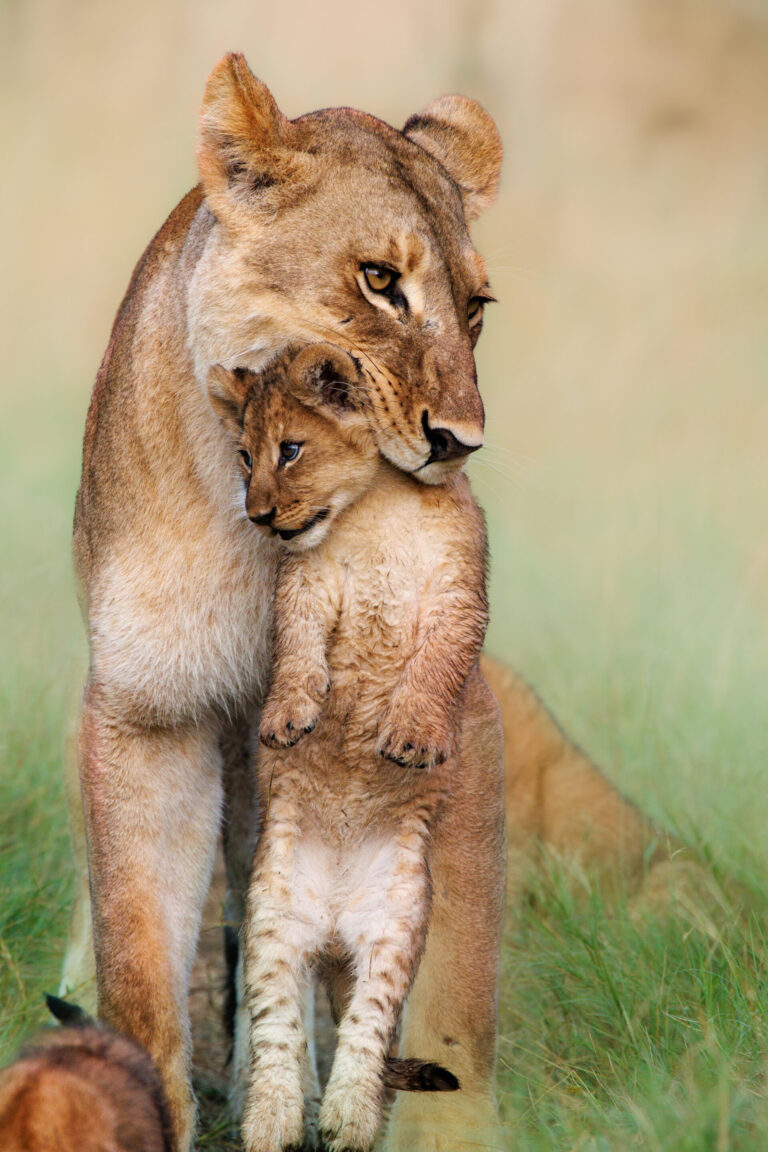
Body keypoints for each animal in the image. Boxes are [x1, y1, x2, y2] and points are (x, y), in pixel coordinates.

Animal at [62, 51, 679, 1151]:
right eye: (380, 281)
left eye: (477, 306)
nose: (460, 442)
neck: (270, 542)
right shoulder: (148, 711)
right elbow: (140, 968)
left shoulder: (462, 721)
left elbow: (451, 991)